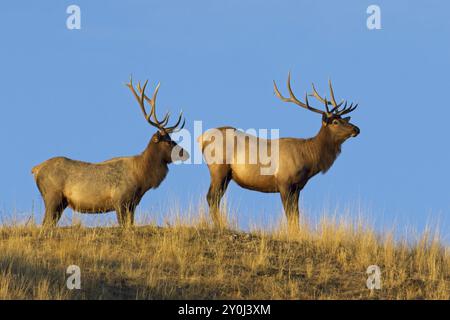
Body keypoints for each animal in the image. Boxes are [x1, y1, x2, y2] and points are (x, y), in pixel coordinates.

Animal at [30, 77, 187, 228]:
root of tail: (35, 169)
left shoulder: (132, 204)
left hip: (61, 202)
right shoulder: (120, 200)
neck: (141, 178)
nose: (185, 153)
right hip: (52, 196)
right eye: (168, 141)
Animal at [199, 72, 360, 230]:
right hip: (218, 169)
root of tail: (202, 139)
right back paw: (219, 225)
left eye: (344, 119)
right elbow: (290, 214)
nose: (356, 129)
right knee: (211, 197)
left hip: (226, 175)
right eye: (335, 122)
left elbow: (296, 215)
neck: (308, 160)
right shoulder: (284, 181)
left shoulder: (297, 187)